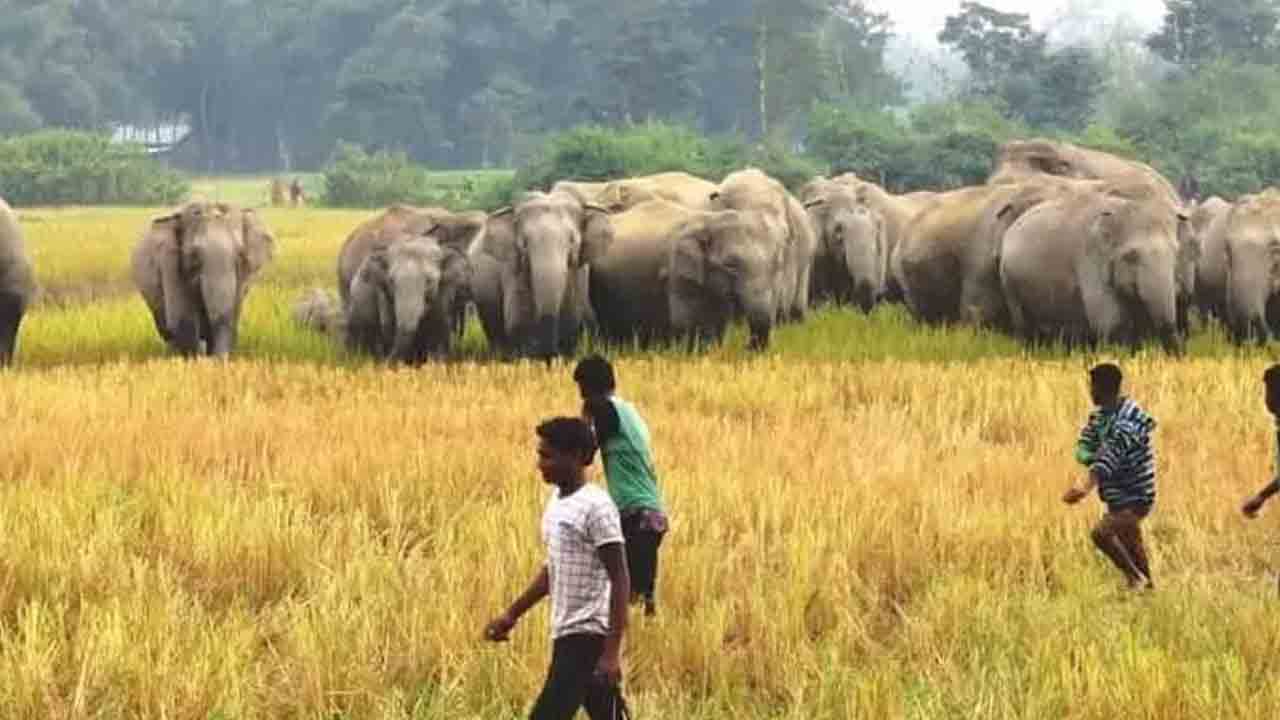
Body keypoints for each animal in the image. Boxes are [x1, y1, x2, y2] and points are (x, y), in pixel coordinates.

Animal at [344, 233, 471, 363]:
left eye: (429, 281)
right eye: (391, 281)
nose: (386, 361)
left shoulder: (444, 291)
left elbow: (440, 326)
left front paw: (436, 361)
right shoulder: (383, 296)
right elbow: (389, 328)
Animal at [468, 190, 614, 360]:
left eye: (572, 241)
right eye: (524, 244)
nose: (550, 353)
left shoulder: (578, 272)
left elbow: (571, 321)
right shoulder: (514, 269)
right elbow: (517, 322)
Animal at [999, 186, 1189, 353]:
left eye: (1176, 252)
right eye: (1131, 256)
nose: (1178, 354)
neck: (1120, 207)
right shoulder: (1089, 257)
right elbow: (1109, 321)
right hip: (1009, 281)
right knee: (1024, 326)